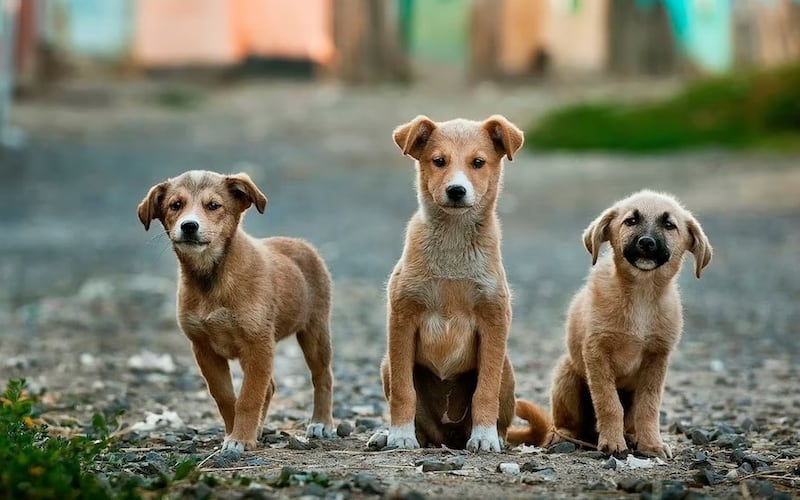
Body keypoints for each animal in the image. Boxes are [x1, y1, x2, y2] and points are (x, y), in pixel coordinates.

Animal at [139, 169, 332, 454]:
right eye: (176, 205)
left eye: (213, 205)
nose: (189, 226)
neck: (212, 278)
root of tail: (300, 244)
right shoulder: (204, 348)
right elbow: (226, 397)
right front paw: (236, 433)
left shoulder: (258, 344)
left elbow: (249, 397)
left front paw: (240, 438)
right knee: (270, 387)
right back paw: (260, 429)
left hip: (315, 331)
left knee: (322, 376)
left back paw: (321, 423)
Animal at [374, 115, 524, 452]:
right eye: (438, 161)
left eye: (478, 162)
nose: (456, 190)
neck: (453, 243)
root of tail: (448, 437)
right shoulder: (402, 319)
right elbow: (404, 391)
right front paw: (400, 435)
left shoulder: (494, 320)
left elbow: (485, 390)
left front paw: (484, 437)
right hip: (387, 364)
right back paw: (390, 435)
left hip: (507, 369)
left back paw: (494, 436)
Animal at [510, 189, 708, 458]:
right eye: (631, 221)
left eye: (669, 225)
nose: (647, 242)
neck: (641, 295)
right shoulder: (597, 353)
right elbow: (609, 403)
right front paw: (613, 443)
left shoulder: (657, 358)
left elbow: (649, 406)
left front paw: (651, 444)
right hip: (566, 374)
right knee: (565, 423)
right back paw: (564, 437)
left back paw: (632, 436)